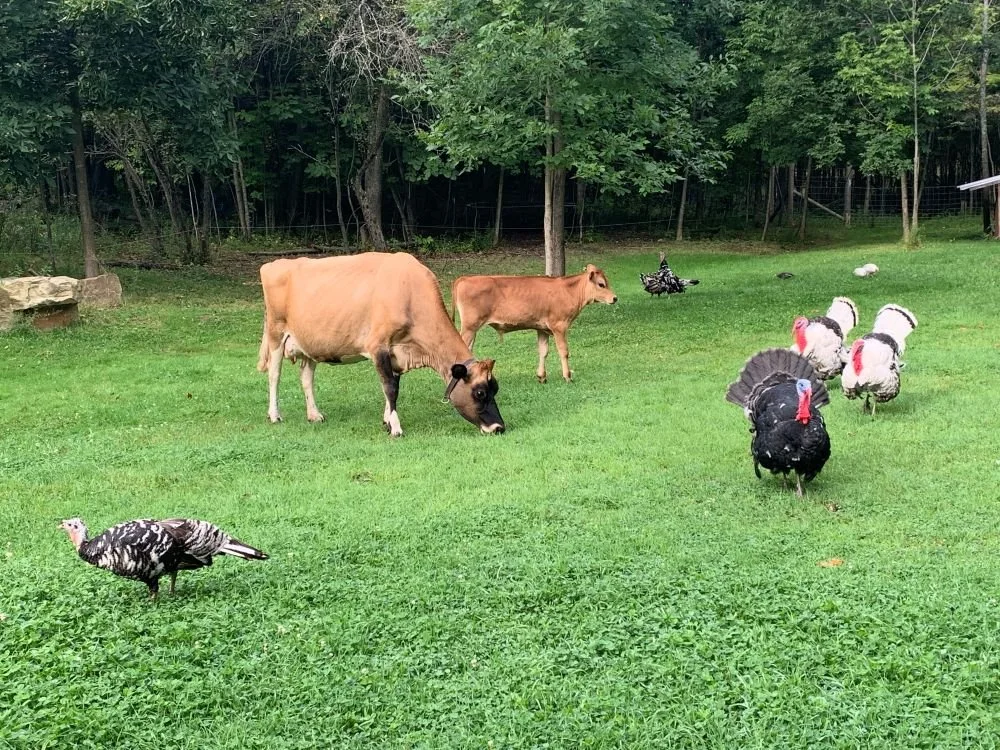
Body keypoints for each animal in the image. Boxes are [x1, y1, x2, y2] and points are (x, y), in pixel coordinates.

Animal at [257, 252, 504, 436]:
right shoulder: (379, 346)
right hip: (276, 333)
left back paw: (314, 415)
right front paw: (395, 428)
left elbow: (394, 387)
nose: (499, 427)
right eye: (480, 392)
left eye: (495, 388)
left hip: (310, 343)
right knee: (274, 374)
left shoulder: (398, 353)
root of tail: (273, 264)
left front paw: (387, 421)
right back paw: (274, 415)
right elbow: (390, 388)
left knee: (306, 377)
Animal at [451, 264, 618, 383]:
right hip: (470, 327)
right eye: (601, 284)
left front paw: (542, 376)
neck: (569, 291)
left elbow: (543, 351)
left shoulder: (542, 328)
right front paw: (567, 376)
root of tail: (464, 278)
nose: (615, 298)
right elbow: (564, 351)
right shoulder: (559, 326)